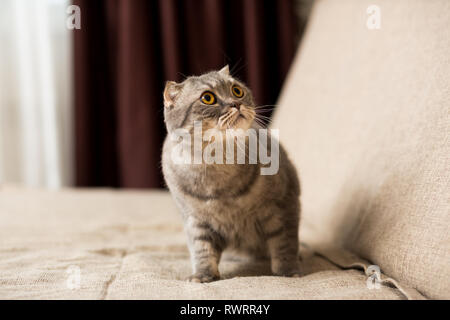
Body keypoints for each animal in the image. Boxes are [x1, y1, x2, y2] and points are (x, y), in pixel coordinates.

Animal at [160, 65, 300, 282]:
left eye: (237, 90)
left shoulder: (283, 204)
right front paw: (203, 275)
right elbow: (202, 250)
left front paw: (287, 271)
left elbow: (284, 243)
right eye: (207, 98)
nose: (236, 103)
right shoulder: (195, 220)